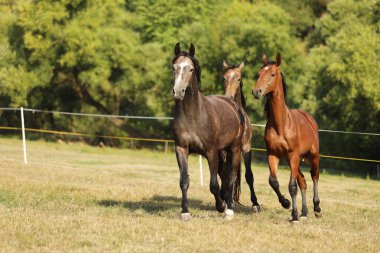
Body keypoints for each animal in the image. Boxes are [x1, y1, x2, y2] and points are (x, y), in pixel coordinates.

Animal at [171, 43, 249, 219]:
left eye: (191, 69)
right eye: (174, 68)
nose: (178, 92)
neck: (193, 116)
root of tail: (233, 104)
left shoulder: (211, 152)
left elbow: (214, 184)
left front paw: (221, 206)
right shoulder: (181, 149)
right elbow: (183, 181)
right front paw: (185, 212)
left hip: (234, 149)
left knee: (232, 176)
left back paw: (229, 209)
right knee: (226, 177)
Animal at [220, 59, 262, 211]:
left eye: (239, 79)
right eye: (224, 78)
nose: (229, 97)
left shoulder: (245, 148)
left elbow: (249, 175)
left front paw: (255, 203)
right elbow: (225, 173)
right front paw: (226, 198)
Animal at [252, 52, 320, 222]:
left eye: (272, 74)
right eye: (259, 73)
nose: (256, 92)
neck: (281, 124)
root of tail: (309, 118)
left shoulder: (293, 155)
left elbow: (292, 186)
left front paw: (294, 216)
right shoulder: (273, 155)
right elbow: (273, 181)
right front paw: (286, 203)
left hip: (312, 156)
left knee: (314, 176)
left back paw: (317, 209)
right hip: (294, 160)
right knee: (303, 182)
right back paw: (304, 212)